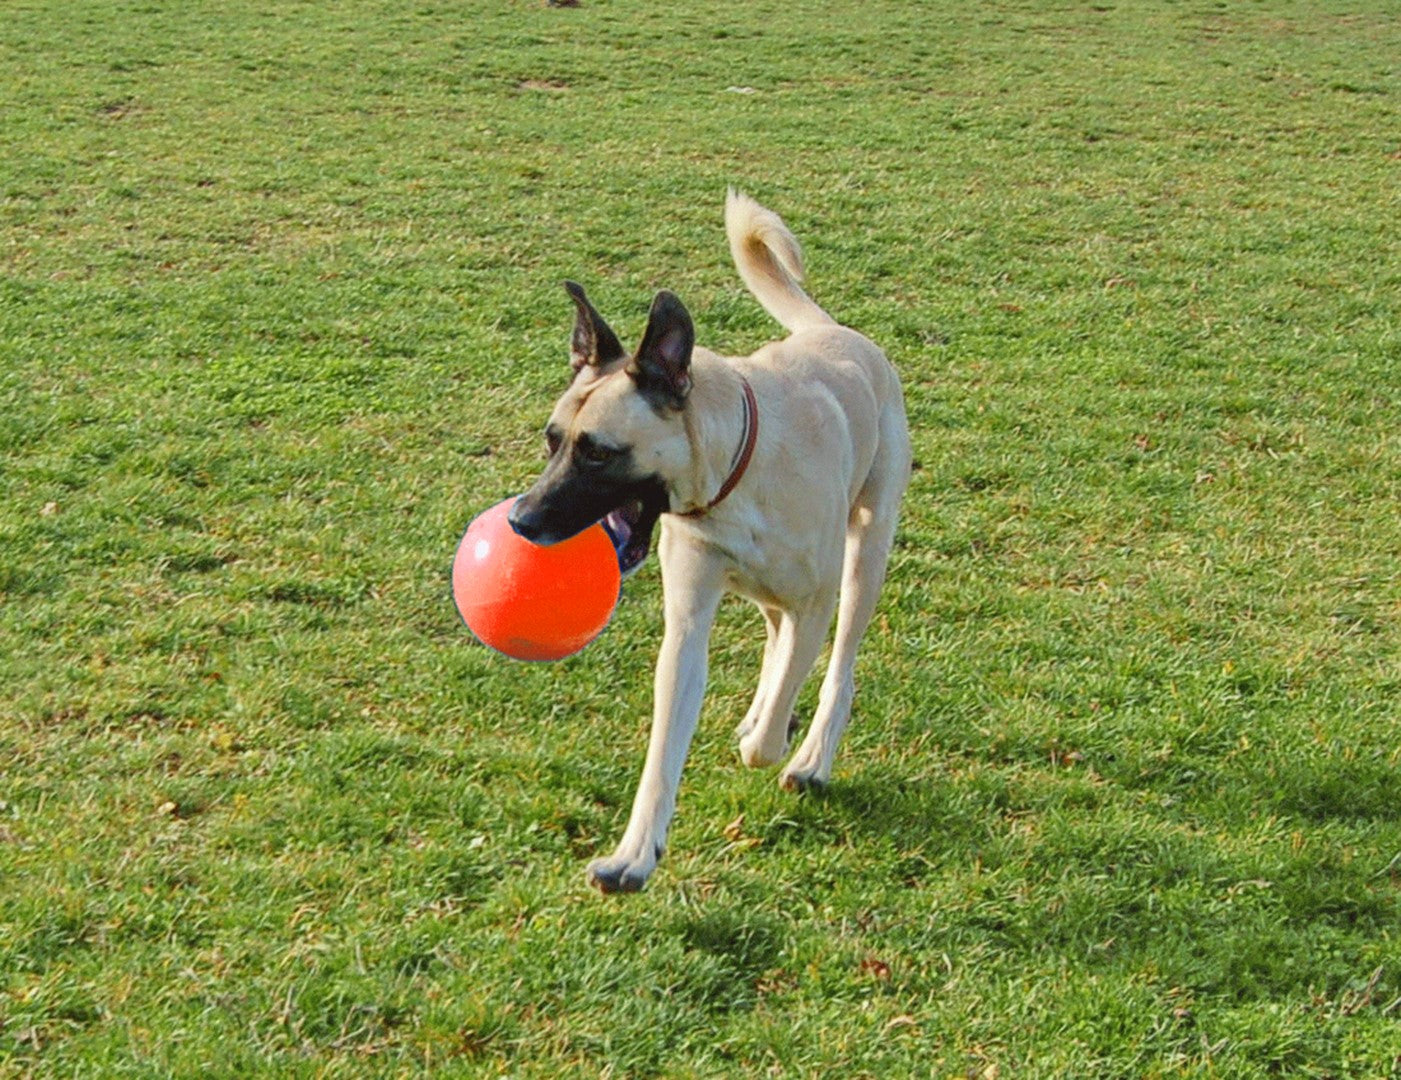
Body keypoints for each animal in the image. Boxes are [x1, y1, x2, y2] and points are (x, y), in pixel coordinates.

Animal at [509, 194, 913, 896]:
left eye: (598, 453)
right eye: (552, 440)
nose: (521, 520)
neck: (732, 476)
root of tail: (833, 331)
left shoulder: (816, 601)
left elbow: (785, 704)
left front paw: (775, 741)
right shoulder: (690, 620)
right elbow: (664, 749)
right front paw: (634, 855)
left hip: (867, 551)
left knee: (838, 668)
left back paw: (810, 754)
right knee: (776, 632)